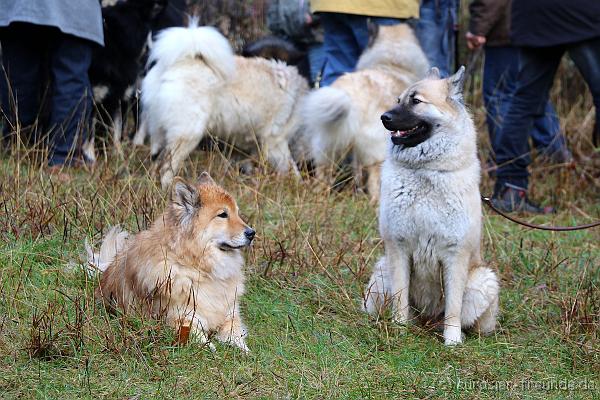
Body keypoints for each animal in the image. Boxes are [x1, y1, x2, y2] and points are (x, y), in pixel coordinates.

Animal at [85, 172, 254, 350]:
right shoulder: (180, 319)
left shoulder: (230, 315)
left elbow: (237, 337)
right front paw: (212, 349)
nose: (252, 233)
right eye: (223, 215)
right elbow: (204, 342)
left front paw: (243, 350)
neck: (199, 268)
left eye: (237, 213)